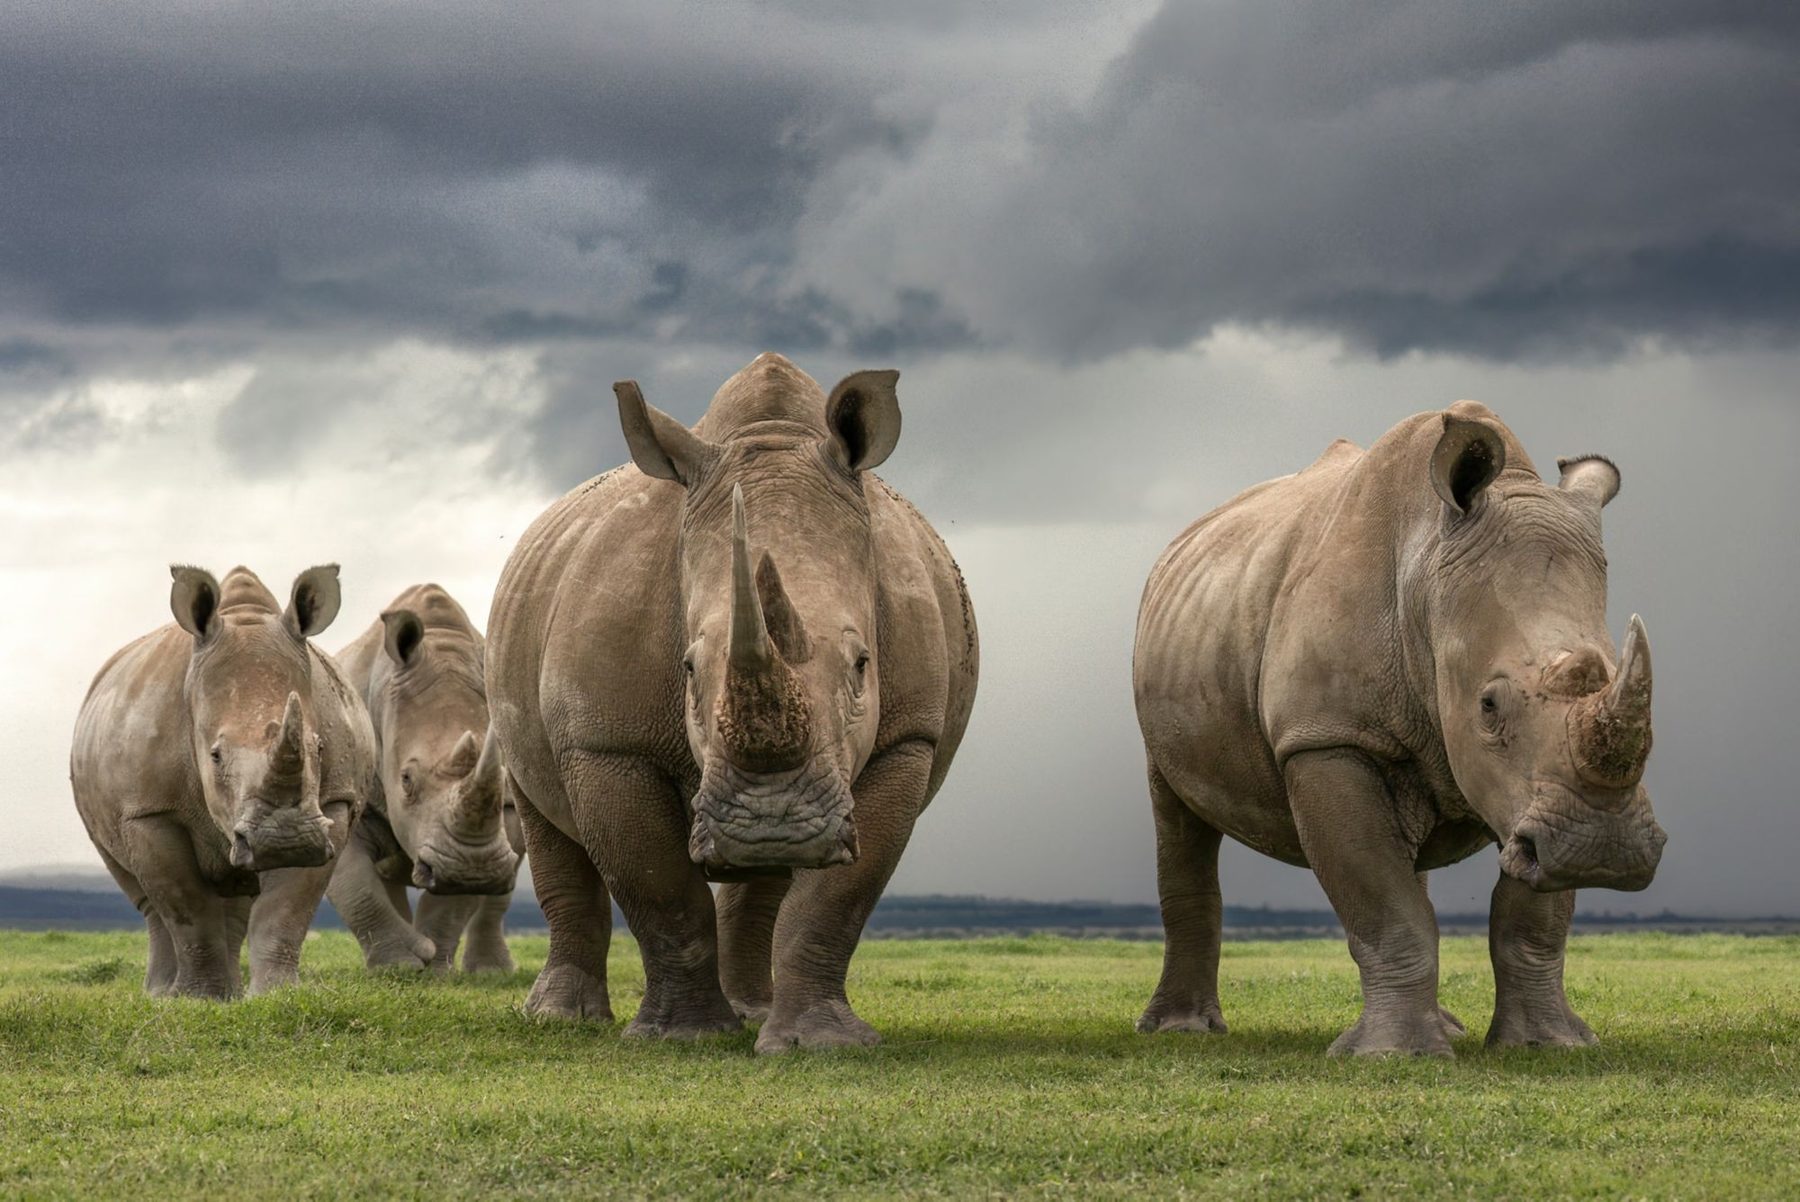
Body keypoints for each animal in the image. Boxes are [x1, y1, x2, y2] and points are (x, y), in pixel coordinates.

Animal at [69, 565, 372, 999]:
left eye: (318, 748)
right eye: (214, 756)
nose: (286, 840)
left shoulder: (334, 804)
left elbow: (287, 910)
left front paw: (276, 996)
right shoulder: (148, 810)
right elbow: (187, 906)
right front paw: (198, 999)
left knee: (237, 893)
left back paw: (228, 993)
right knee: (147, 897)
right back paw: (162, 994)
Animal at [327, 584, 523, 973]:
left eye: (505, 778)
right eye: (405, 779)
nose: (473, 870)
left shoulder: (481, 838)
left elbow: (452, 904)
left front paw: (433, 969)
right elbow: (357, 888)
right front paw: (400, 966)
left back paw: (491, 971)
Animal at [487, 352, 978, 1052]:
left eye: (863, 666)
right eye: (688, 671)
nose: (771, 826)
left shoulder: (908, 738)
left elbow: (836, 899)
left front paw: (822, 1045)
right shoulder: (605, 741)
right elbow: (662, 889)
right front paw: (679, 1038)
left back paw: (751, 1013)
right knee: (544, 816)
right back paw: (561, 1019)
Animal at [1133, 402, 1666, 1055]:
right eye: (1488, 706)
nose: (1604, 849)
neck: (1426, 581)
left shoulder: (1536, 798)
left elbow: (1531, 918)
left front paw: (1546, 1046)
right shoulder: (1327, 736)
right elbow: (1385, 905)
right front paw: (1394, 1055)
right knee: (1176, 811)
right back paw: (1179, 1031)